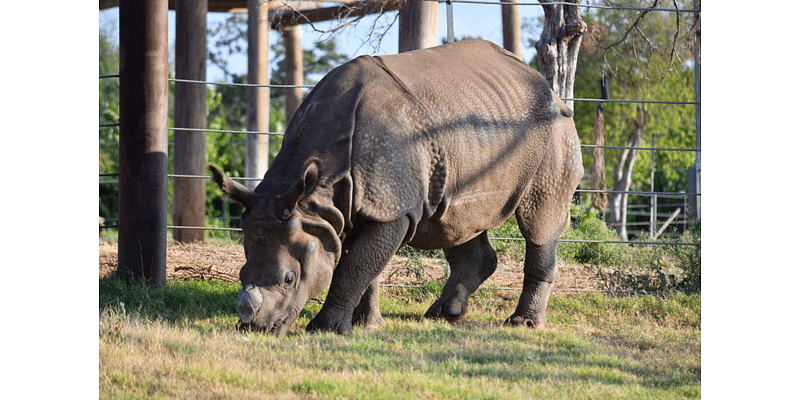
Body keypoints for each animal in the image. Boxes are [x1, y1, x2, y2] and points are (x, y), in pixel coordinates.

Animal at [206, 39, 580, 334]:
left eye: (289, 279)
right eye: (240, 272)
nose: (255, 328)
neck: (315, 195)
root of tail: (545, 85)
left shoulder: (390, 207)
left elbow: (355, 265)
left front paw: (326, 329)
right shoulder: (359, 205)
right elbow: (365, 266)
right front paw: (365, 325)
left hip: (553, 128)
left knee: (538, 218)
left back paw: (524, 324)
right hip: (473, 133)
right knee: (456, 219)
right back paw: (444, 314)